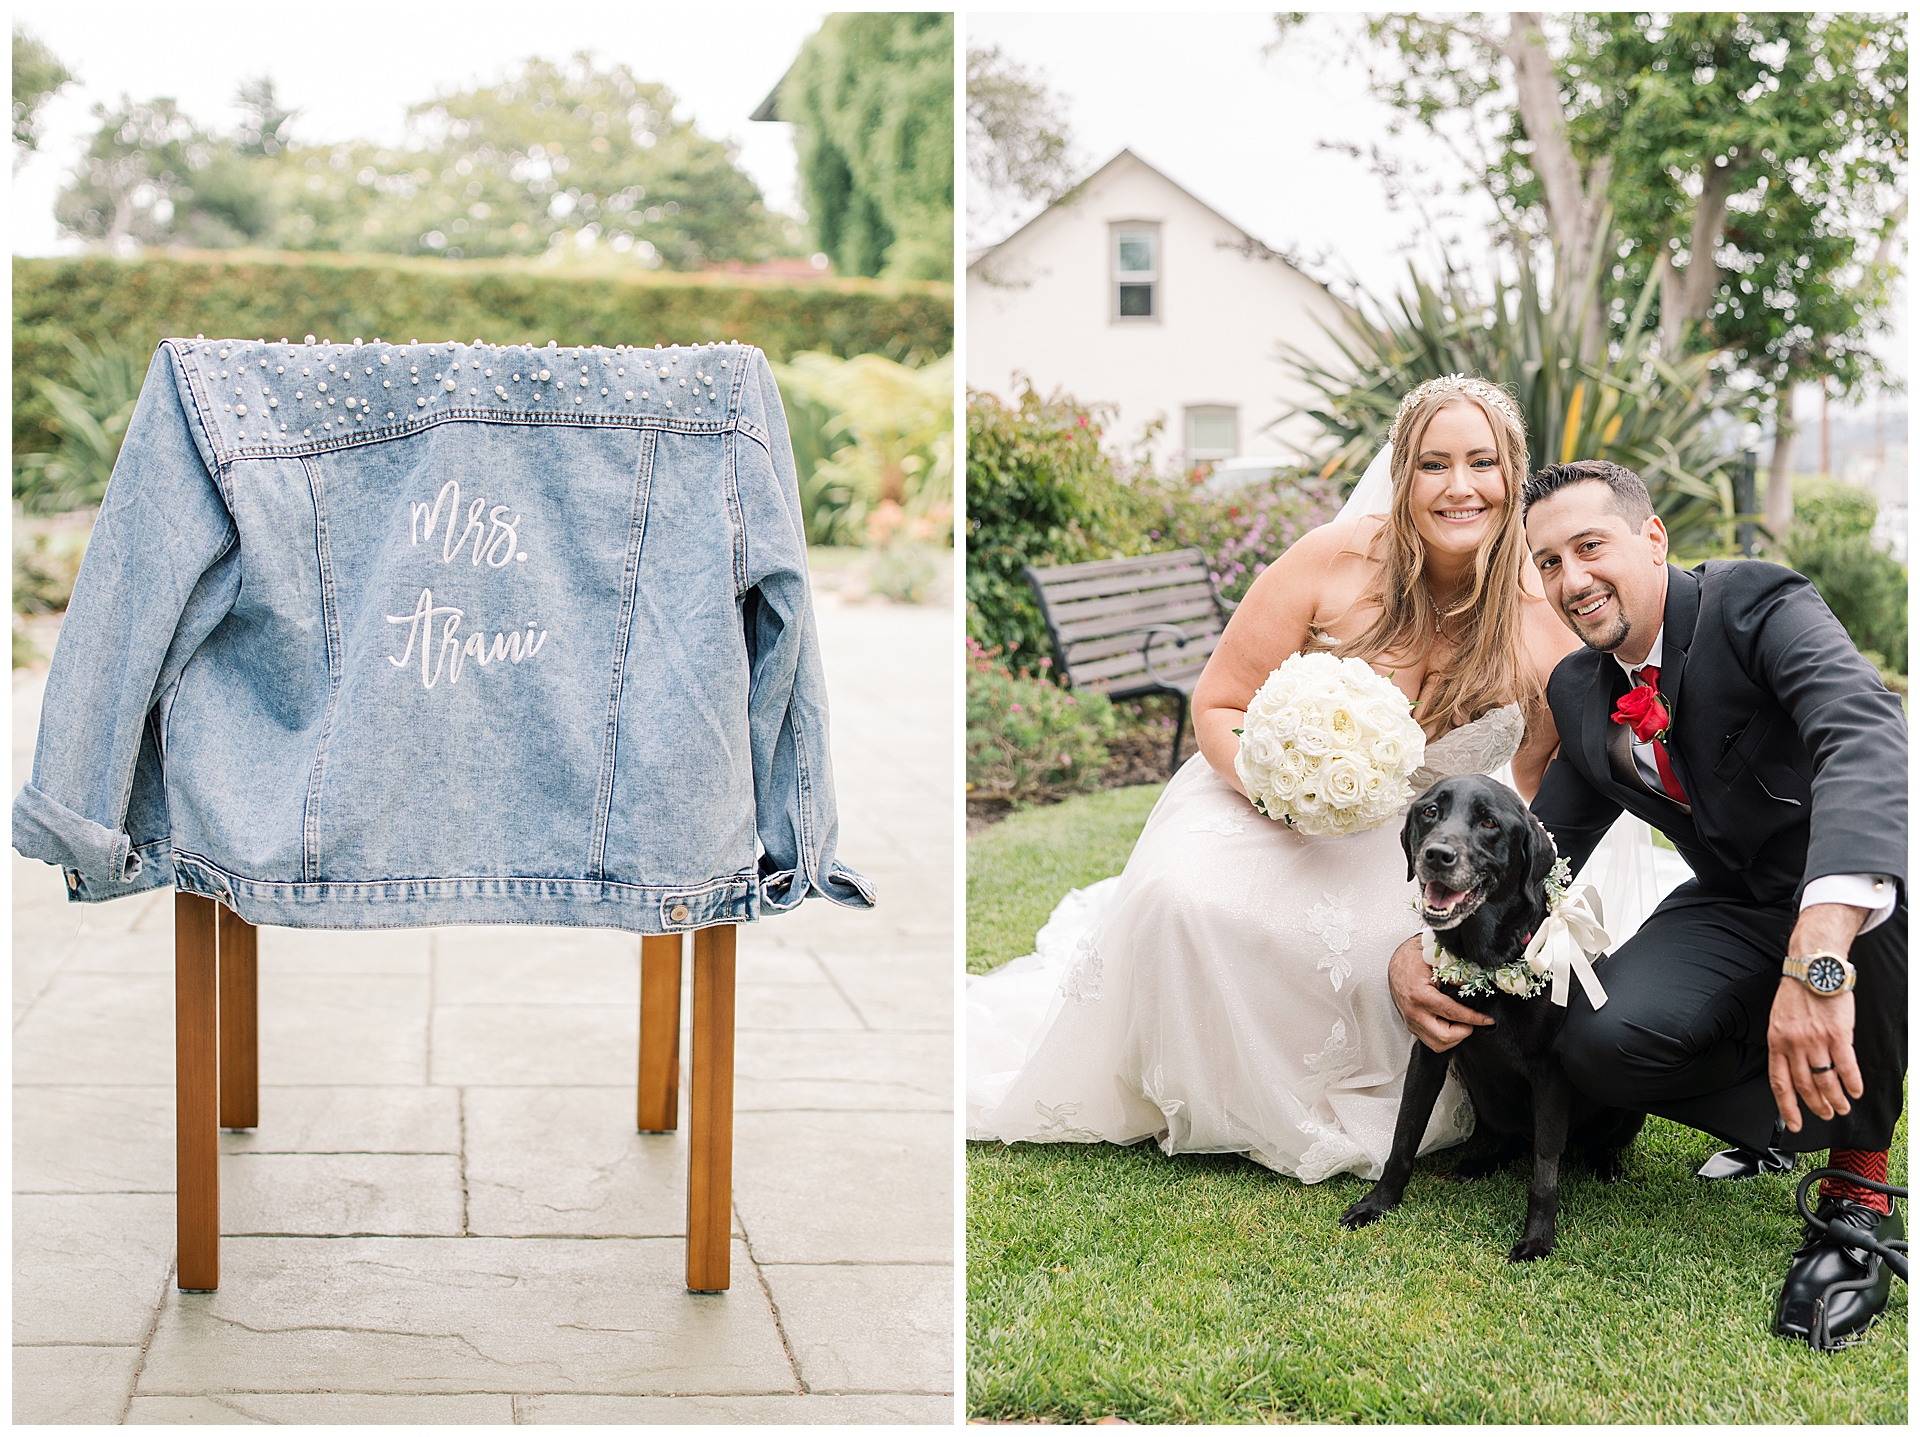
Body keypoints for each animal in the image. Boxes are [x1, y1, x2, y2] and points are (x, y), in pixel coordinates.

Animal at [1344, 776, 1643, 1260]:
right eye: (1430, 811)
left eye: (1489, 823)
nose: (1437, 855)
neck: (1486, 961)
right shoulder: (1428, 1051)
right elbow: (1403, 1135)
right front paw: (1378, 1203)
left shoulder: (1550, 1074)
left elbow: (1545, 1169)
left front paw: (1538, 1238)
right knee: (1513, 1142)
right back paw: (1481, 1161)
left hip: (1624, 1099)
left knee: (1582, 1144)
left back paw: (1605, 1163)